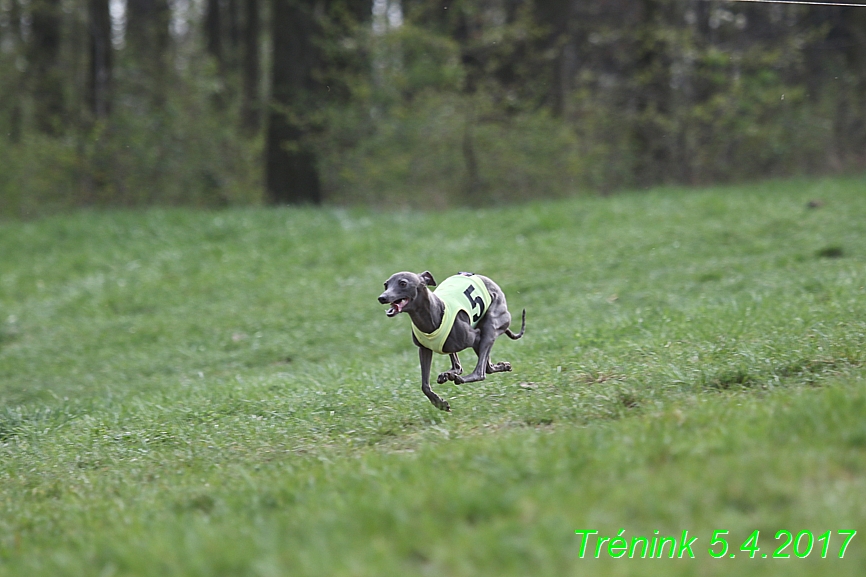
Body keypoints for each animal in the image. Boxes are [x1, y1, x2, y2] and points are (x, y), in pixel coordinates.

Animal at [374, 270, 524, 410]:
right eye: (386, 284)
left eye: (403, 283)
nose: (382, 298)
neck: (433, 313)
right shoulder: (424, 349)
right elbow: (424, 385)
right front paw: (439, 403)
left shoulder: (477, 337)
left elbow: (482, 366)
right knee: (467, 366)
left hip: (490, 326)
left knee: (481, 371)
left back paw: (459, 377)